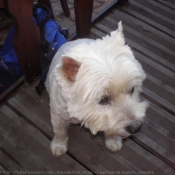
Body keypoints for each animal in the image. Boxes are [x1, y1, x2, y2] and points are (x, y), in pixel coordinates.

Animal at [45, 21, 148, 157]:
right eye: (103, 99)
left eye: (132, 89)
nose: (136, 127)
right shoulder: (58, 115)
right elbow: (60, 131)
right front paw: (58, 146)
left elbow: (111, 127)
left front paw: (113, 140)